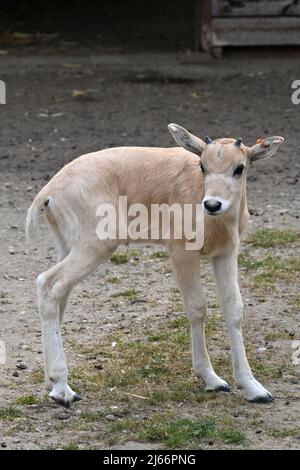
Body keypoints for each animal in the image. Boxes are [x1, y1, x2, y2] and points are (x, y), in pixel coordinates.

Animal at [25, 123, 284, 406]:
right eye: (202, 165)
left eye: (239, 167)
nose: (213, 204)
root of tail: (49, 192)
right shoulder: (182, 251)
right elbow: (197, 307)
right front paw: (211, 378)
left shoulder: (225, 253)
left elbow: (234, 309)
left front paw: (254, 388)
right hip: (95, 246)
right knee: (48, 283)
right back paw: (63, 389)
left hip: (68, 246)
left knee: (59, 294)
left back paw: (53, 386)